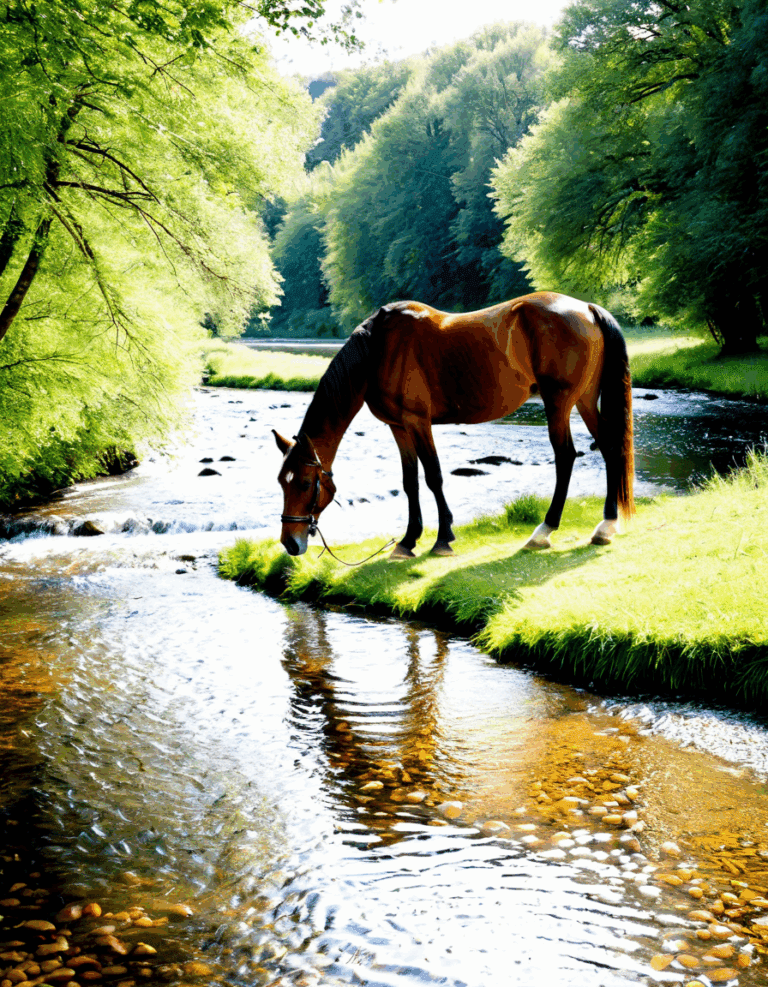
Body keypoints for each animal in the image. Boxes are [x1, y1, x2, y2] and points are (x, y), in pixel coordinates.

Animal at [273, 291, 634, 559]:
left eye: (304, 483)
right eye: (281, 482)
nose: (290, 542)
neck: (379, 350)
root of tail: (586, 308)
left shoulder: (418, 422)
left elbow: (433, 476)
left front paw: (443, 538)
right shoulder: (398, 427)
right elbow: (410, 482)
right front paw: (408, 541)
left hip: (559, 403)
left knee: (565, 457)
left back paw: (543, 532)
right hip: (584, 400)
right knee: (609, 447)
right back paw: (606, 526)